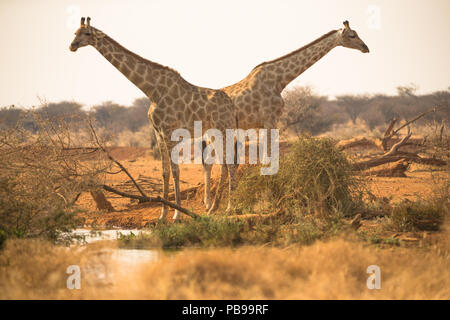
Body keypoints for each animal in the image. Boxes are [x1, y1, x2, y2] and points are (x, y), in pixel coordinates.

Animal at [68, 17, 237, 220]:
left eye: (86, 33)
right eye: (74, 32)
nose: (72, 46)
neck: (152, 91)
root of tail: (232, 105)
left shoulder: (169, 131)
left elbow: (175, 171)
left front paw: (177, 214)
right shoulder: (158, 133)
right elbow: (165, 172)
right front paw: (162, 215)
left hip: (224, 130)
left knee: (230, 164)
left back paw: (228, 208)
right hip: (214, 133)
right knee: (224, 164)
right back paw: (214, 208)